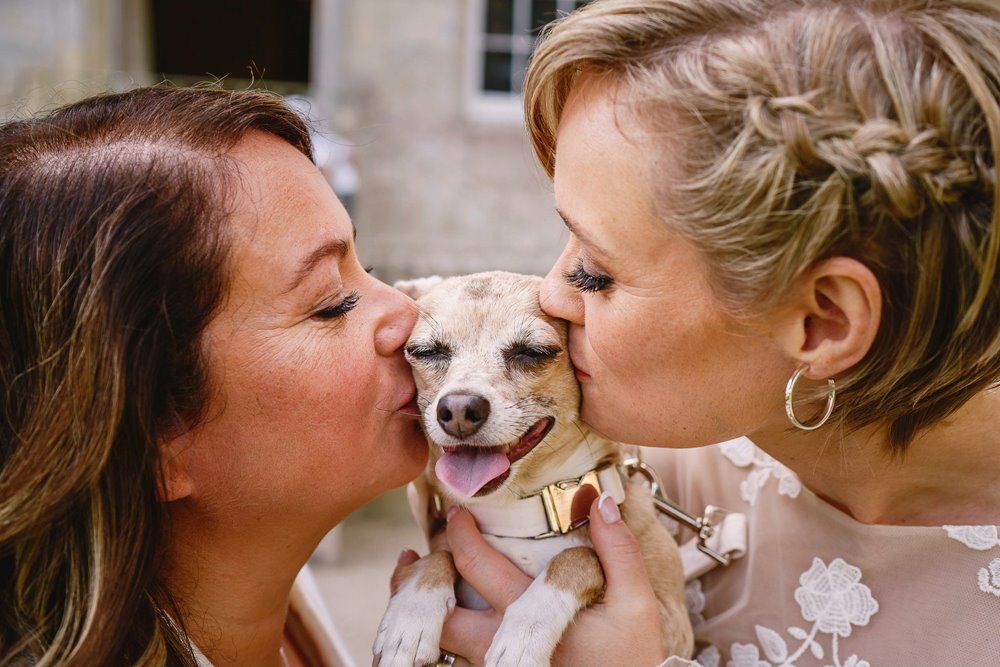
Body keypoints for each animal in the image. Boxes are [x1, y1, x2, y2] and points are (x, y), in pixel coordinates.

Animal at [372, 272, 692, 667]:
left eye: (533, 352)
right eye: (425, 352)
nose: (459, 409)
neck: (521, 517)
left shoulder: (671, 628)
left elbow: (579, 555)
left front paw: (524, 635)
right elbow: (438, 554)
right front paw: (412, 613)